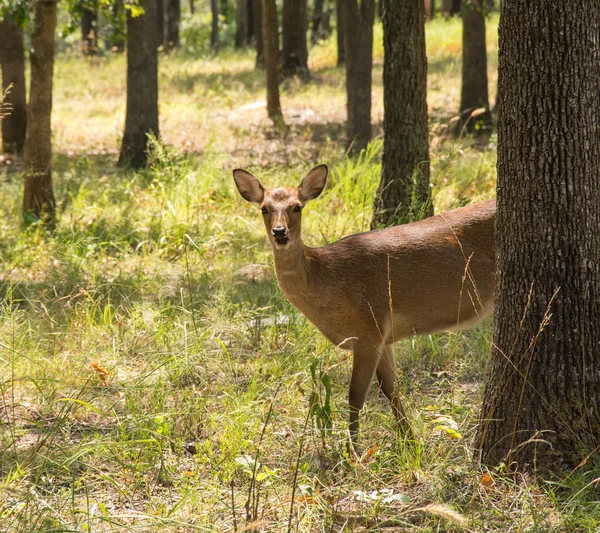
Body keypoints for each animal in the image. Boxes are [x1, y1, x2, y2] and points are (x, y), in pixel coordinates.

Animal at [232, 164, 494, 446]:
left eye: (297, 207)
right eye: (264, 208)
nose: (280, 233)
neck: (326, 280)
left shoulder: (367, 329)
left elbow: (355, 396)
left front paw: (353, 449)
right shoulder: (383, 335)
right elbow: (391, 387)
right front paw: (409, 441)